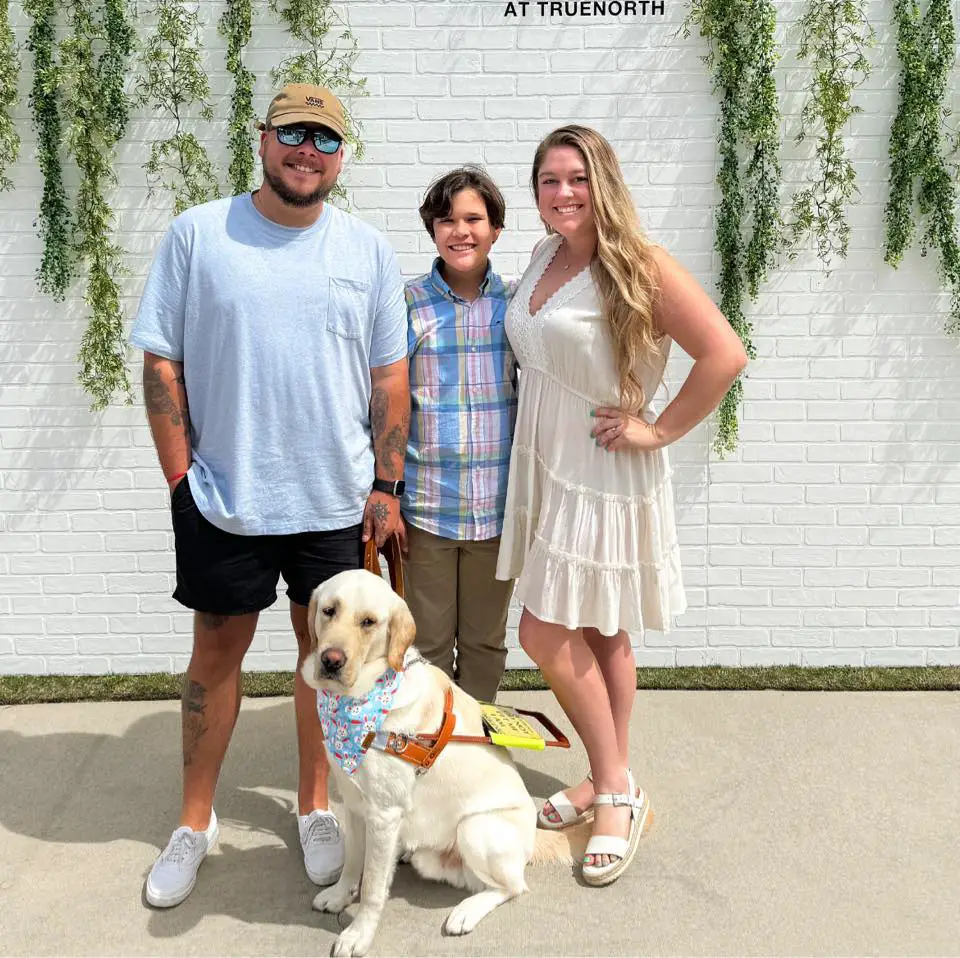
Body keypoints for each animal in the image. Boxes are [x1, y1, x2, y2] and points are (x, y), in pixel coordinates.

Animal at [300, 568, 584, 958]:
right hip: (433, 853)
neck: (361, 698)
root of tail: (532, 836)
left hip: (475, 828)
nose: (330, 660)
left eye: (369, 622)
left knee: (512, 886)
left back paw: (465, 913)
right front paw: (340, 896)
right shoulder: (355, 803)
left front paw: (359, 934)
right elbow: (353, 862)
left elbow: (372, 886)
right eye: (329, 610)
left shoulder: (384, 813)